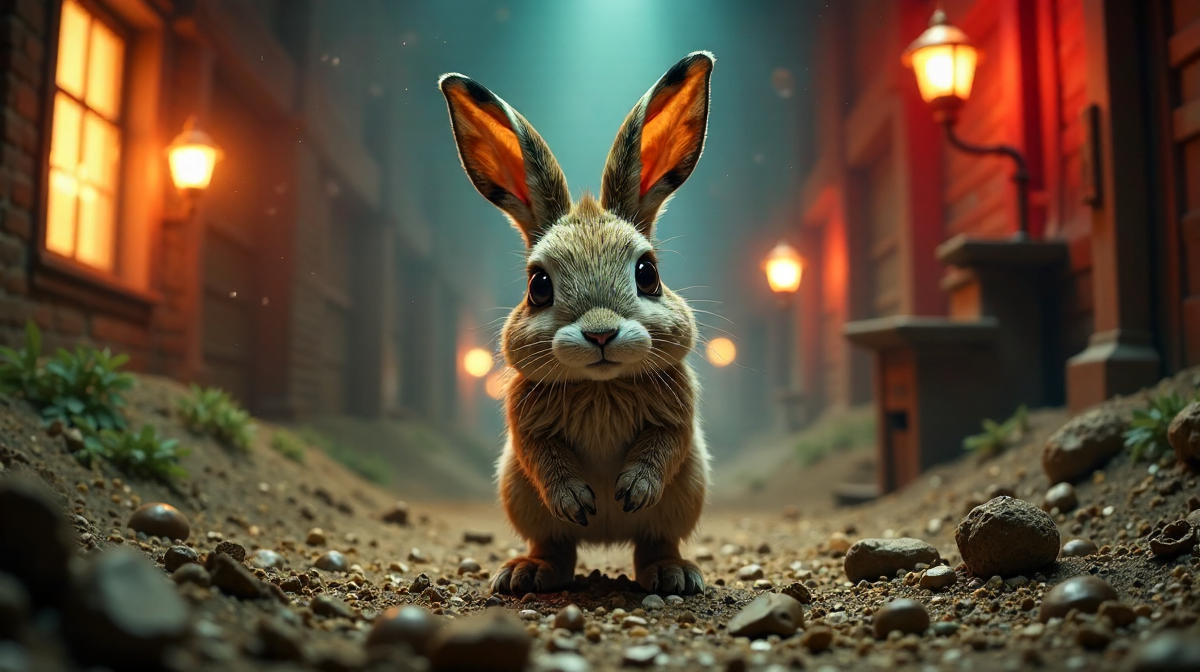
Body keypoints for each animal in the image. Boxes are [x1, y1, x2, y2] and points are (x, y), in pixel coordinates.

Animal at [439, 51, 715, 596]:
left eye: (648, 274)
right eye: (539, 286)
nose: (601, 333)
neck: (600, 386)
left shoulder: (677, 415)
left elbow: (663, 447)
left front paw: (631, 490)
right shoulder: (527, 427)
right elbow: (543, 458)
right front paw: (579, 499)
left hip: (683, 496)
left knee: (654, 541)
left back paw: (671, 574)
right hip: (521, 497)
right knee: (556, 545)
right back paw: (527, 572)